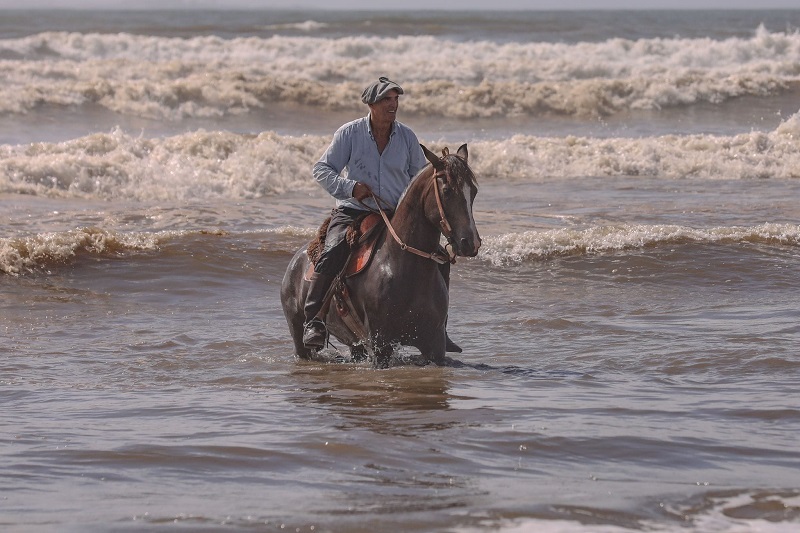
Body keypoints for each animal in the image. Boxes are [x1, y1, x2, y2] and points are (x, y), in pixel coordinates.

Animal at [282, 142, 482, 366]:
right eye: (447, 191)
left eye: (473, 191)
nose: (470, 243)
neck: (401, 266)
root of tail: (296, 260)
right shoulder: (381, 345)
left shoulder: (435, 346)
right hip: (298, 332)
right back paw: (313, 331)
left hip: (355, 344)